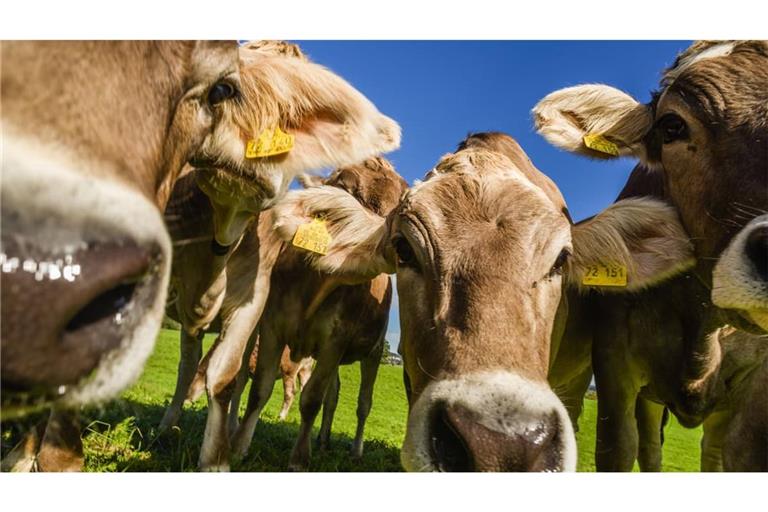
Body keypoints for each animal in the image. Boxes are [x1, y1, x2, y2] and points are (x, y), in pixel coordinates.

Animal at [228, 157, 407, 470]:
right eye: (346, 188)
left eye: (400, 201)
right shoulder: (272, 327)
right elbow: (260, 389)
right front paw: (239, 447)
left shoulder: (335, 342)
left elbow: (312, 398)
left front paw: (299, 458)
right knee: (333, 396)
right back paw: (323, 440)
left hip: (374, 352)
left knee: (363, 402)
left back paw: (355, 450)